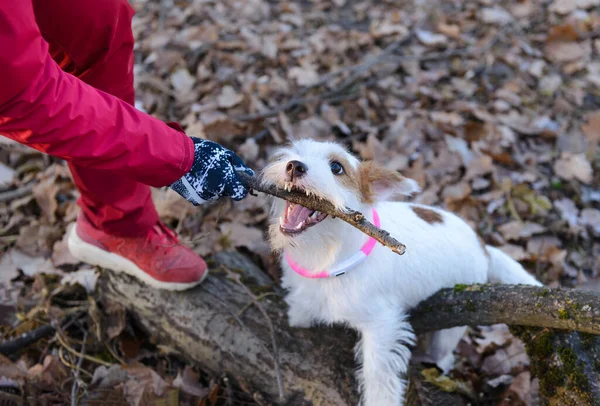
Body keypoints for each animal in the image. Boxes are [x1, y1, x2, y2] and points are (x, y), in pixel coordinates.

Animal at [260, 139, 540, 406]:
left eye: (337, 167)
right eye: (295, 152)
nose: (294, 166)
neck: (328, 256)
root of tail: (484, 247)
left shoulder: (382, 326)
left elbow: (378, 376)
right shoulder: (305, 299)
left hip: (449, 333)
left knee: (444, 356)